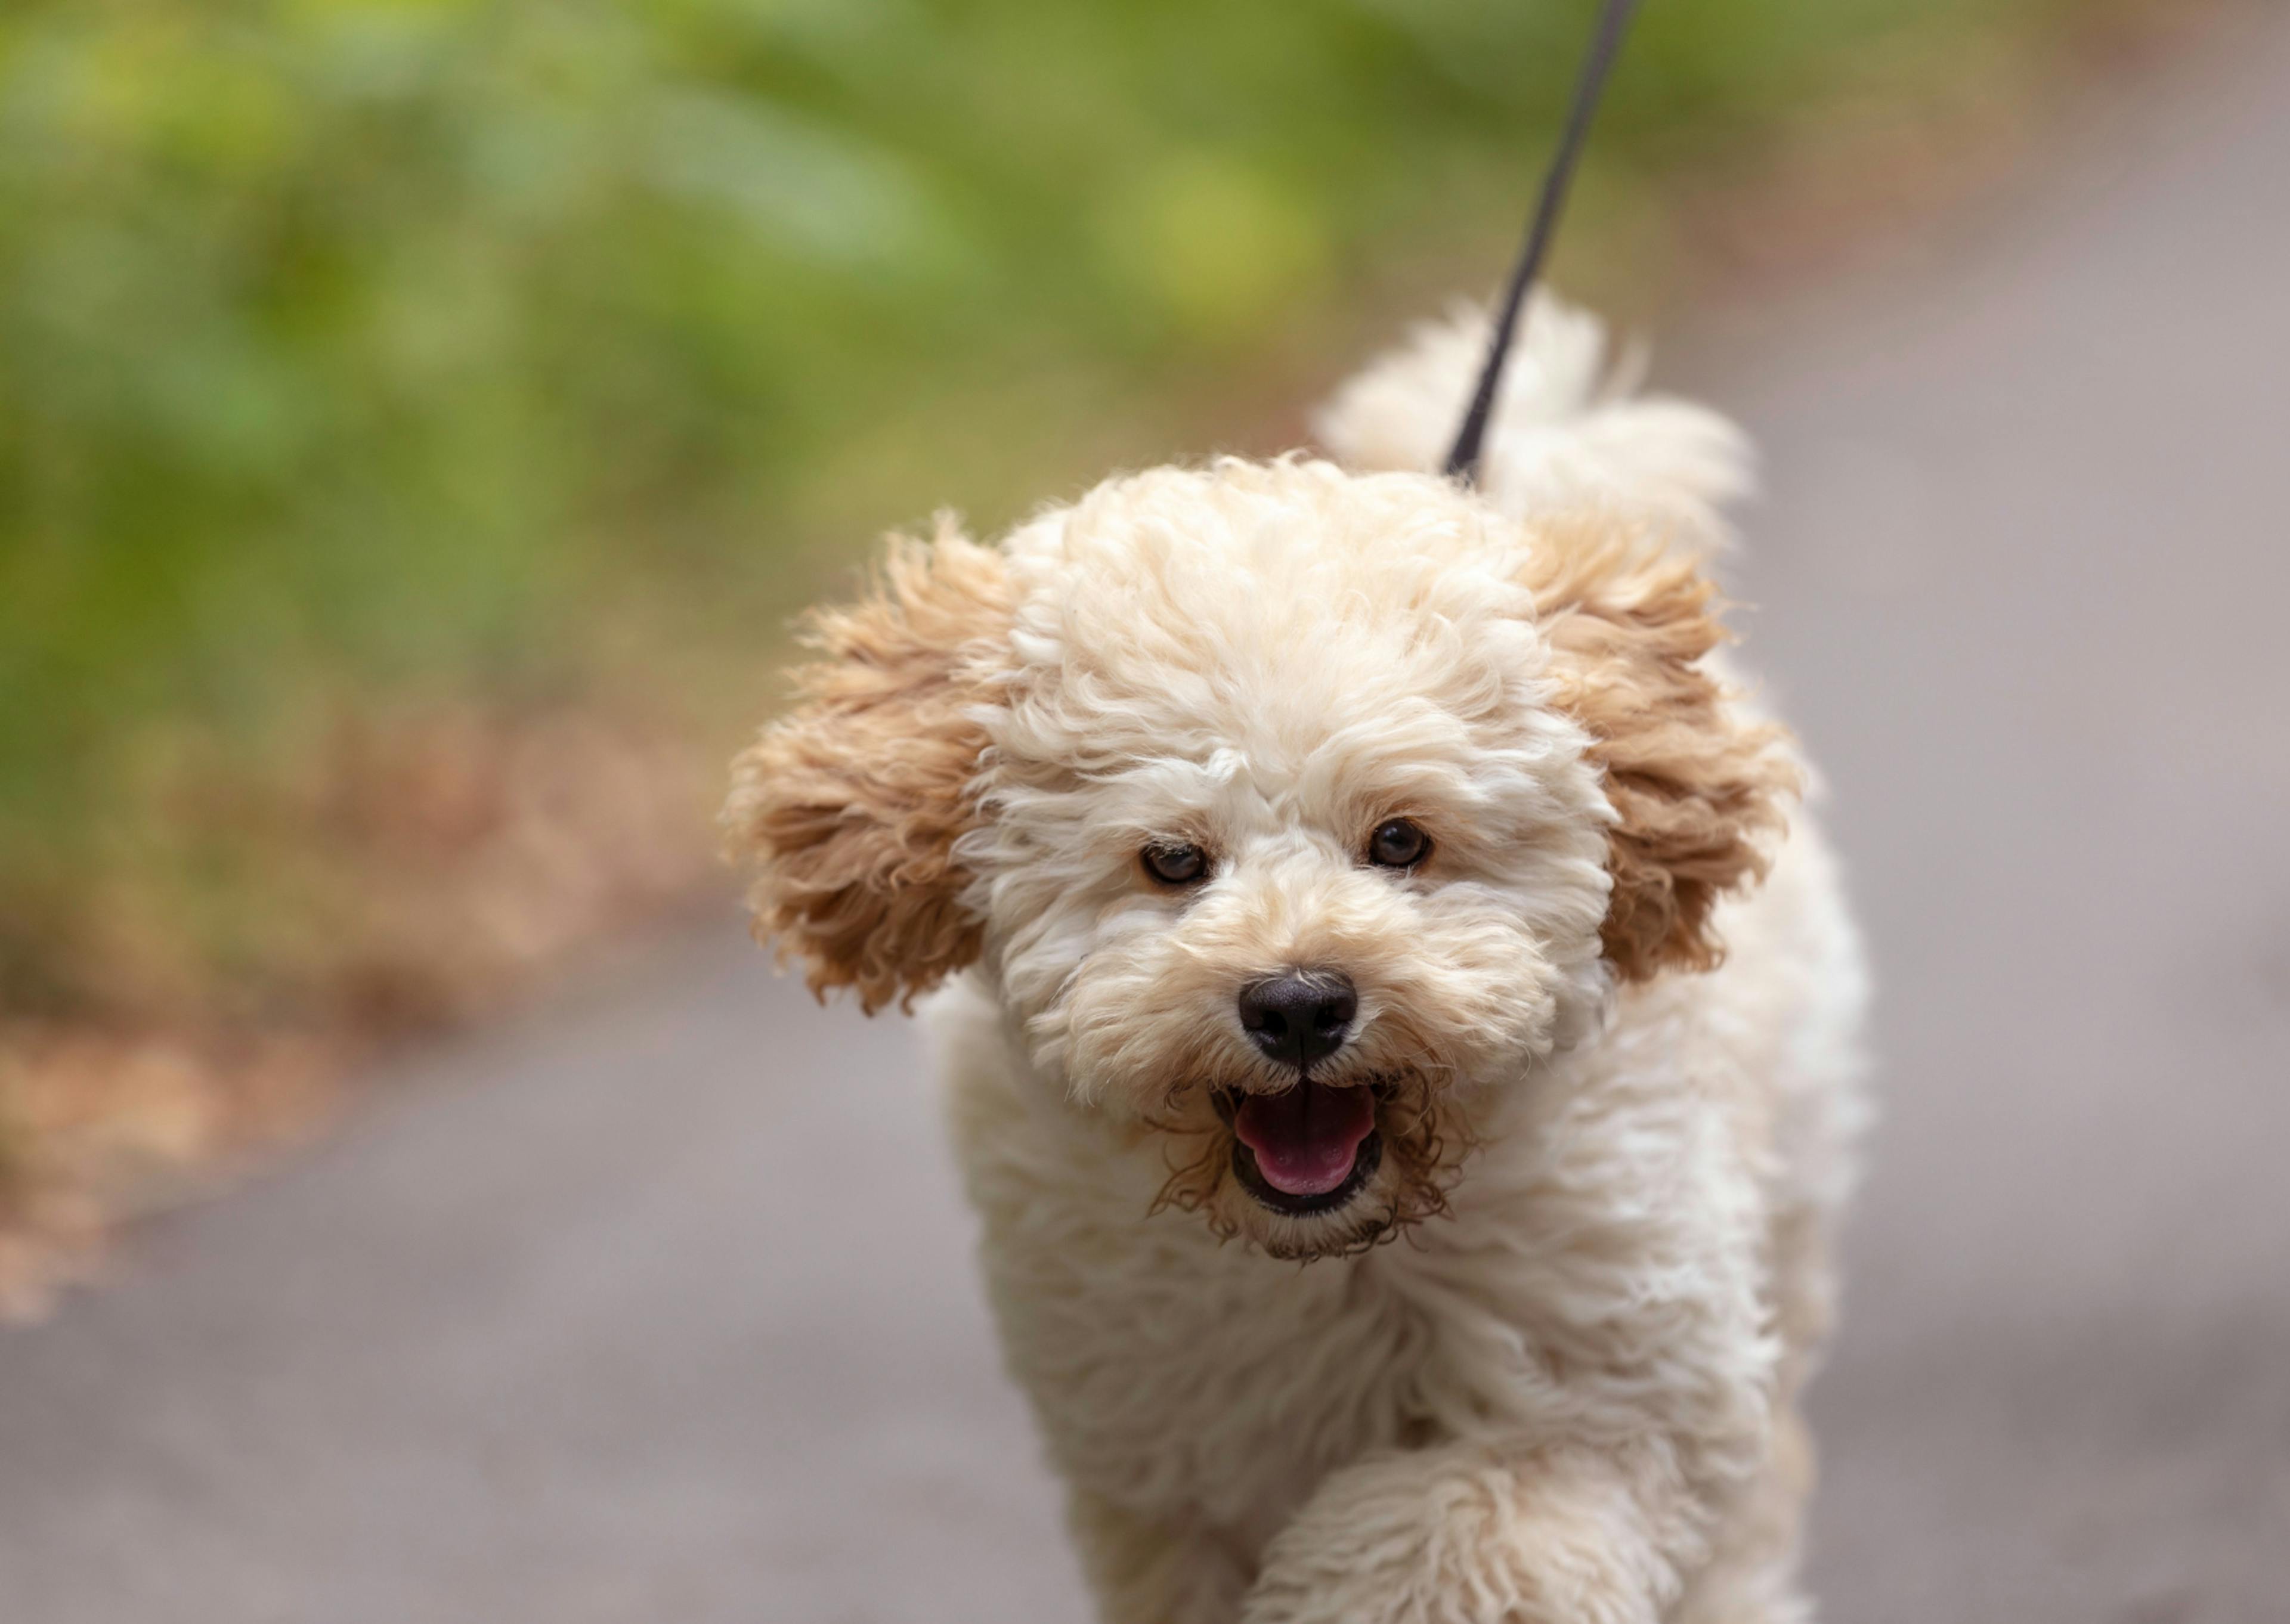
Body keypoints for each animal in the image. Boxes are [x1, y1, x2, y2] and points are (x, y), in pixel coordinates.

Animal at [723, 295, 1868, 1622]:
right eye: (1173, 859)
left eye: (1402, 840)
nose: (1301, 1003)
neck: (1332, 1257)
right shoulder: (1166, 1472)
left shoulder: (1610, 1403)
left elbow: (1447, 1535)